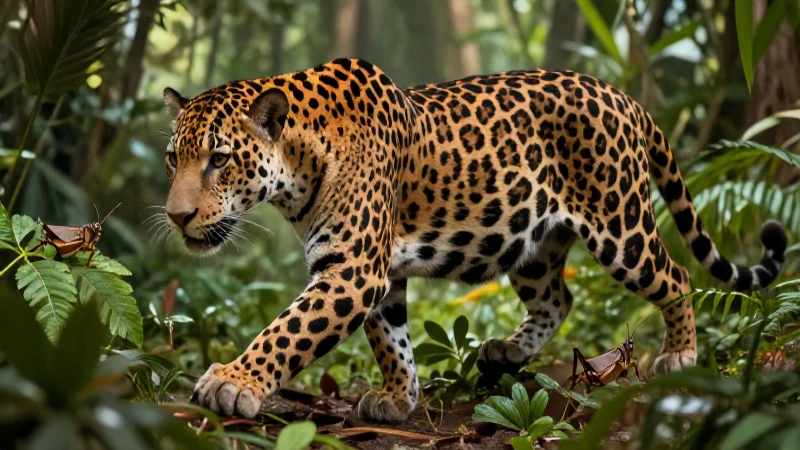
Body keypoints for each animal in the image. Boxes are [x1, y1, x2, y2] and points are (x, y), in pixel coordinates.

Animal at [161, 58, 787, 423]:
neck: (298, 164)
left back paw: (679, 353)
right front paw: (399, 397)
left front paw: (231, 382)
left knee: (675, 276)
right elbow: (391, 339)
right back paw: (507, 350)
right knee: (558, 297)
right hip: (531, 241)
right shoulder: (377, 273)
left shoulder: (352, 270)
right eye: (173, 158)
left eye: (220, 159)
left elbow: (288, 332)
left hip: (621, 224)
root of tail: (625, 98)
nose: (176, 216)